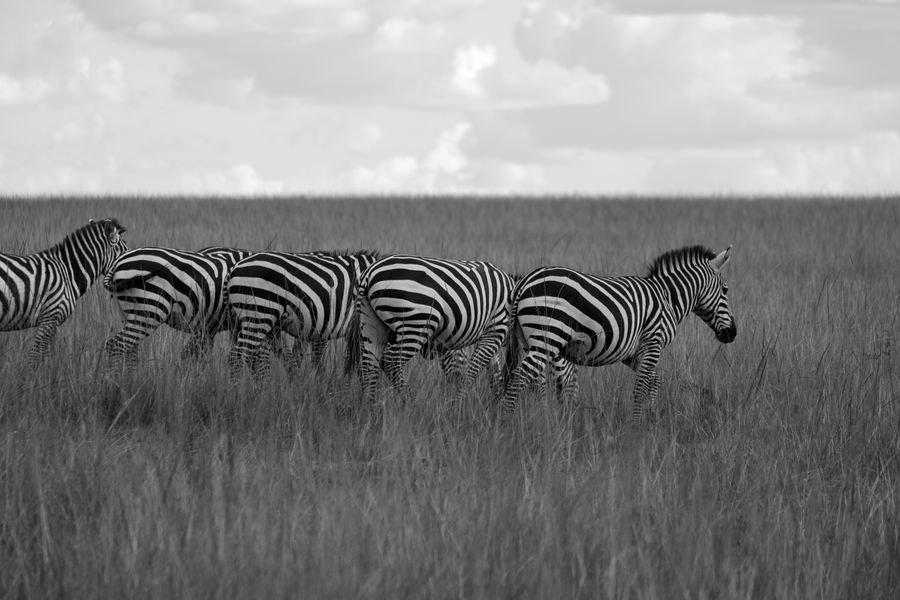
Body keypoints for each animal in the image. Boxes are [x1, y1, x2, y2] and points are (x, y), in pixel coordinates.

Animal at [1, 218, 128, 369]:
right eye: (125, 251)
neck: (68, 272)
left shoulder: (52, 323)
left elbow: (46, 357)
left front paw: (47, 373)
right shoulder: (49, 317)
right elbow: (34, 357)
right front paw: (33, 376)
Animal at [103, 245, 253, 370]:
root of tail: (117, 262)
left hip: (128, 313)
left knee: (129, 350)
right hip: (149, 308)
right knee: (115, 346)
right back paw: (115, 382)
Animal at [227, 249, 381, 381]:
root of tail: (234, 268)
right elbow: (359, 361)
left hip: (264, 318)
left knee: (256, 357)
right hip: (258, 313)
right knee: (237, 357)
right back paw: (237, 391)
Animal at [501, 245, 736, 424]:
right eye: (725, 290)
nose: (732, 333)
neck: (667, 298)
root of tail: (524, 282)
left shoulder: (633, 353)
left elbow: (654, 381)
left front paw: (651, 419)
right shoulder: (653, 341)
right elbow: (642, 386)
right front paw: (636, 426)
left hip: (529, 339)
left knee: (535, 382)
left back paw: (542, 421)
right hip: (548, 337)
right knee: (520, 377)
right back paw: (508, 423)